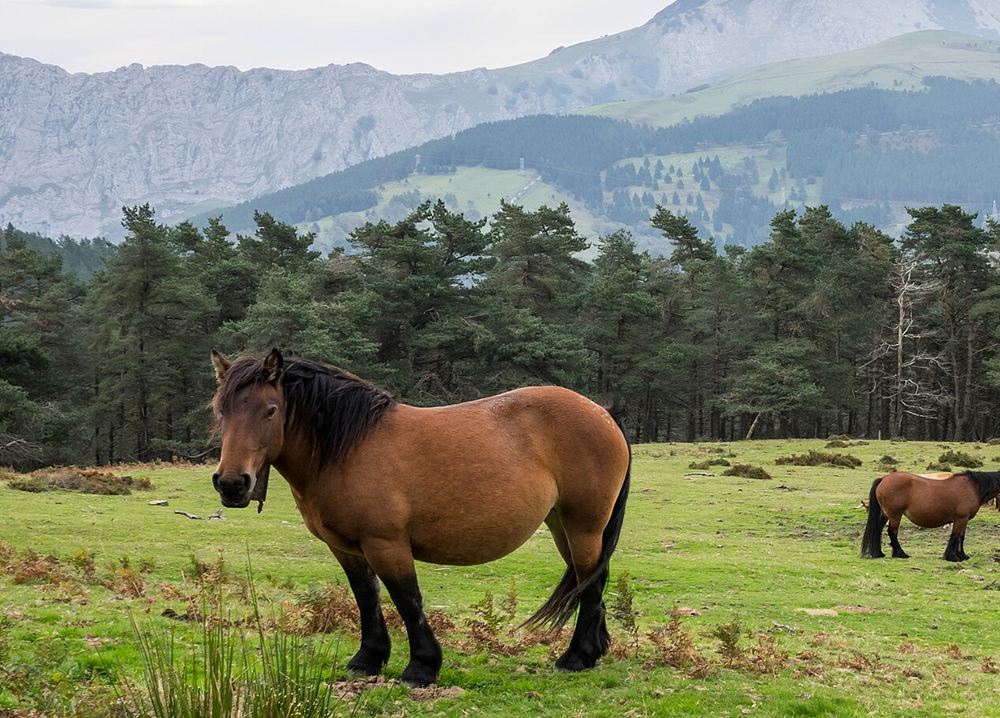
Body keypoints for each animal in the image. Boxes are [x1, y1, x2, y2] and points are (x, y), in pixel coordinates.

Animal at [209, 349, 631, 686]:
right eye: (221, 410)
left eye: (270, 410)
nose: (231, 483)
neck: (347, 448)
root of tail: (603, 413)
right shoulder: (346, 548)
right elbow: (366, 597)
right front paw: (367, 660)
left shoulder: (386, 543)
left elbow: (407, 599)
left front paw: (421, 668)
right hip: (563, 525)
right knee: (591, 579)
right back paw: (594, 650)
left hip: (583, 525)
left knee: (590, 583)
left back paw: (576, 657)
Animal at [860, 470, 1000, 561]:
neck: (972, 487)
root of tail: (883, 479)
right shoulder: (960, 519)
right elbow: (955, 536)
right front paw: (952, 557)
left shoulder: (964, 520)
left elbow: (961, 537)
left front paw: (962, 556)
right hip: (895, 515)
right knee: (892, 532)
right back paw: (900, 553)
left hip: (886, 514)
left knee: (878, 529)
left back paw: (878, 553)